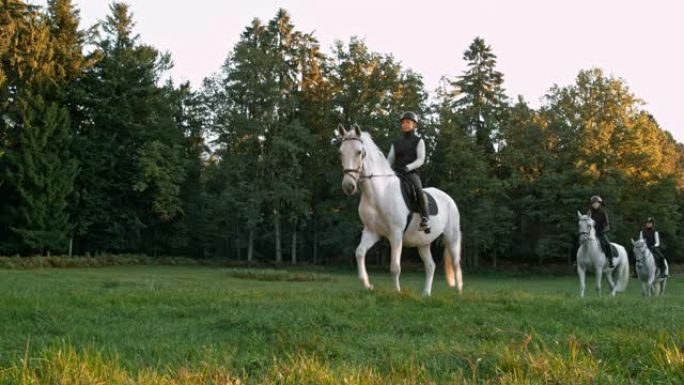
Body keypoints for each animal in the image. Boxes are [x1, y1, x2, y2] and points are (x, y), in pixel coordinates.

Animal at [338, 124, 464, 296]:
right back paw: (426, 294)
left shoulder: (396, 234)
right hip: (423, 242)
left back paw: (459, 293)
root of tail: (449, 199)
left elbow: (395, 267)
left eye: (359, 152)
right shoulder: (372, 232)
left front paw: (397, 292)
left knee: (456, 263)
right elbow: (360, 252)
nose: (348, 186)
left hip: (451, 236)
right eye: (341, 152)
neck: (380, 193)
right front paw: (367, 284)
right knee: (430, 265)